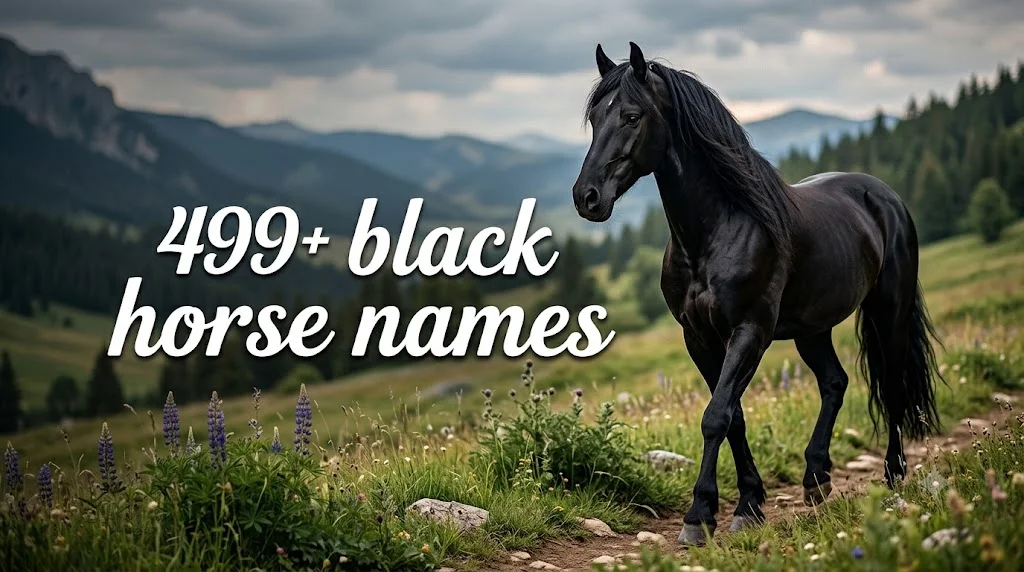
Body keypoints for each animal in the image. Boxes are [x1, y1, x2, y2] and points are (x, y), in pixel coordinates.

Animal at [572, 42, 942, 545]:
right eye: (594, 118)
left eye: (631, 116)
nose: (586, 197)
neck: (718, 230)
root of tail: (885, 196)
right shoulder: (701, 339)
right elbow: (733, 416)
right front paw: (747, 503)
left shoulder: (750, 332)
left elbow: (716, 416)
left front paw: (699, 516)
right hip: (812, 328)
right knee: (835, 382)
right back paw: (816, 478)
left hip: (889, 312)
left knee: (893, 385)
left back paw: (892, 472)